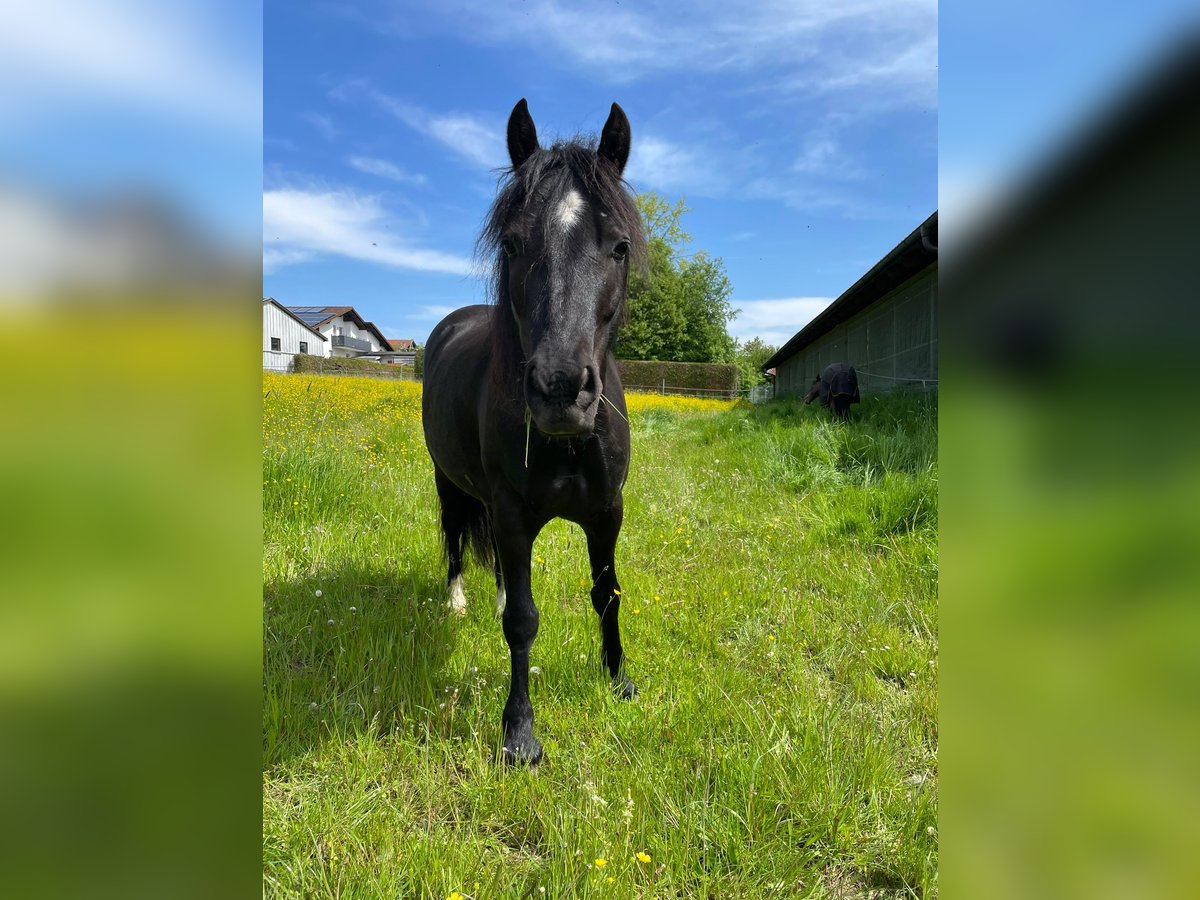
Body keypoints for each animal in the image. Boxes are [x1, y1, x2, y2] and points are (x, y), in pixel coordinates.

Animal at [421, 99, 646, 765]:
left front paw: (618, 678)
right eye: (515, 243)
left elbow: (607, 593)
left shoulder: (607, 512)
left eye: (619, 247)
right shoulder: (513, 512)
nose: (559, 388)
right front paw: (519, 732)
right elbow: (521, 619)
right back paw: (457, 601)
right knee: (455, 541)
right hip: (451, 483)